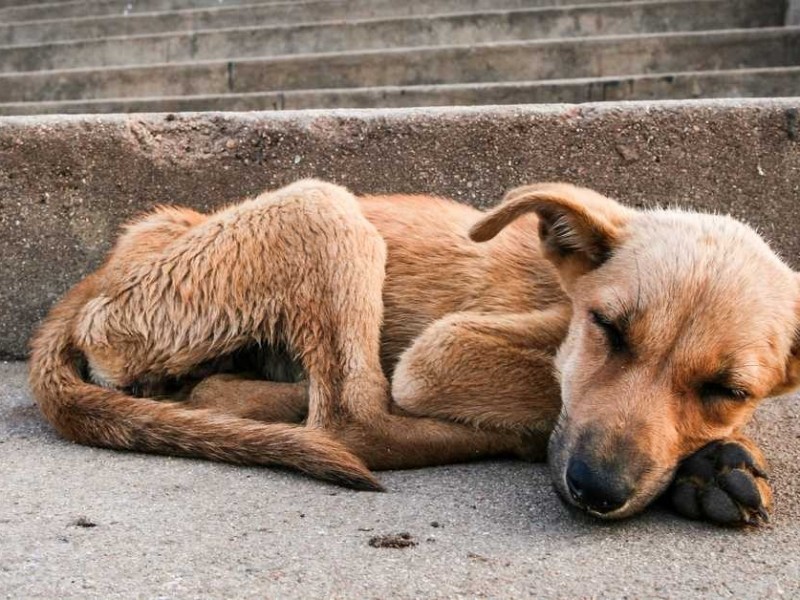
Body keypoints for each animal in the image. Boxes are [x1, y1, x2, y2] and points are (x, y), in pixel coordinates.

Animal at [26, 178, 800, 524]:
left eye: (728, 390)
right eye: (607, 329)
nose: (596, 489)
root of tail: (99, 281)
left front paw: (712, 461)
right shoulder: (441, 351)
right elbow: (546, 391)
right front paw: (706, 464)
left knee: (224, 391)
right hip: (322, 208)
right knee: (354, 420)